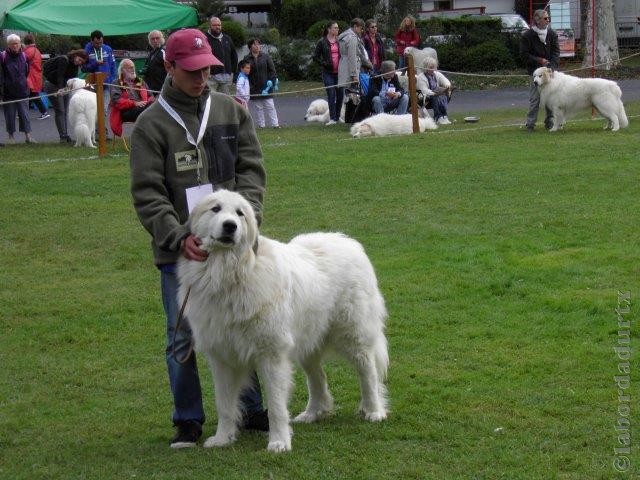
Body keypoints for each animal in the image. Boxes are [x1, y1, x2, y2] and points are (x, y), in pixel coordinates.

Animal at [176, 189, 390, 452]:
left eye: (240, 213)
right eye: (215, 209)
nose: (230, 226)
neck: (229, 272)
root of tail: (348, 241)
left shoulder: (271, 354)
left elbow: (276, 406)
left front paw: (279, 441)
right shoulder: (223, 357)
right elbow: (224, 404)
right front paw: (222, 438)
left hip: (353, 334)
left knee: (368, 371)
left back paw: (373, 411)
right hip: (307, 341)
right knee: (318, 378)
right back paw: (314, 413)